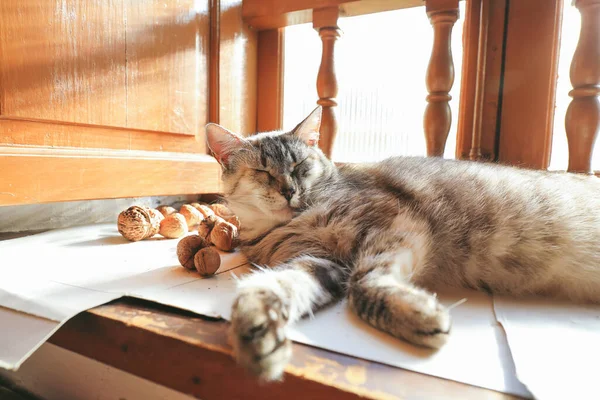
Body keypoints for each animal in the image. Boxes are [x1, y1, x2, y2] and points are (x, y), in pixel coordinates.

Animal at [205, 106, 600, 382]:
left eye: (300, 165)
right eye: (263, 172)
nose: (290, 190)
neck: (292, 223)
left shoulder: (394, 223)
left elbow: (363, 284)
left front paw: (418, 315)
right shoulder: (319, 261)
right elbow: (273, 286)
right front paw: (256, 331)